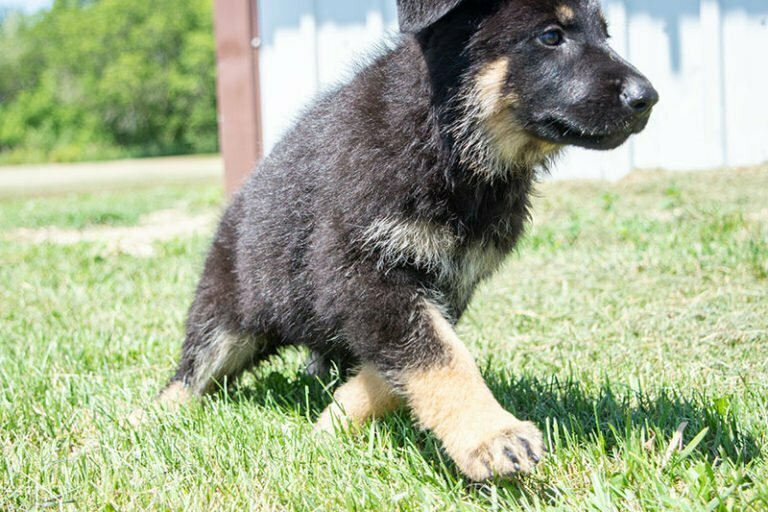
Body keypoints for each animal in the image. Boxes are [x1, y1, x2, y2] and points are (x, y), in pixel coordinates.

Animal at [156, 0, 656, 480]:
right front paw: (492, 435)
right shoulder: (363, 270)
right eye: (551, 36)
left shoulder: (447, 285)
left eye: (606, 34)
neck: (448, 145)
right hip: (226, 314)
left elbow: (404, 367)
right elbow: (440, 357)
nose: (648, 98)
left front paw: (335, 420)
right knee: (191, 372)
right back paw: (159, 416)